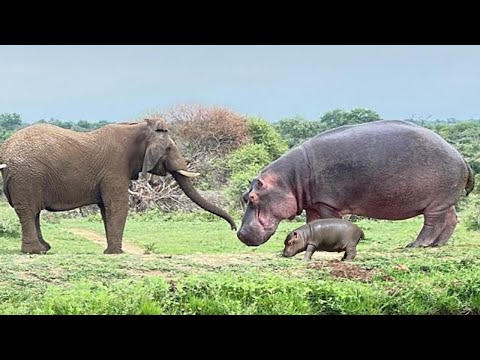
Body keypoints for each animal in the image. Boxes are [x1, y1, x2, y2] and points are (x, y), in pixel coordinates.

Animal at [0, 118, 237, 253]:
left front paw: (111, 251)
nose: (234, 229)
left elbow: (107, 209)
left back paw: (44, 248)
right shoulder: (114, 168)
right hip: (27, 177)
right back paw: (35, 252)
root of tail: (5, 151)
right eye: (169, 149)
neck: (137, 127)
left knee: (33, 213)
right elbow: (117, 206)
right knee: (28, 211)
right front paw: (116, 253)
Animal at [235, 120, 472, 248]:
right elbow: (313, 223)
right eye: (245, 197)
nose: (239, 234)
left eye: (253, 197)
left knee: (432, 224)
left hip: (435, 202)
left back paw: (416, 245)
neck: (289, 180)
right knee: (451, 219)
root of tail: (461, 157)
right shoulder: (313, 204)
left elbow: (330, 221)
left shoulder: (327, 203)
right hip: (445, 201)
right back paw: (438, 245)